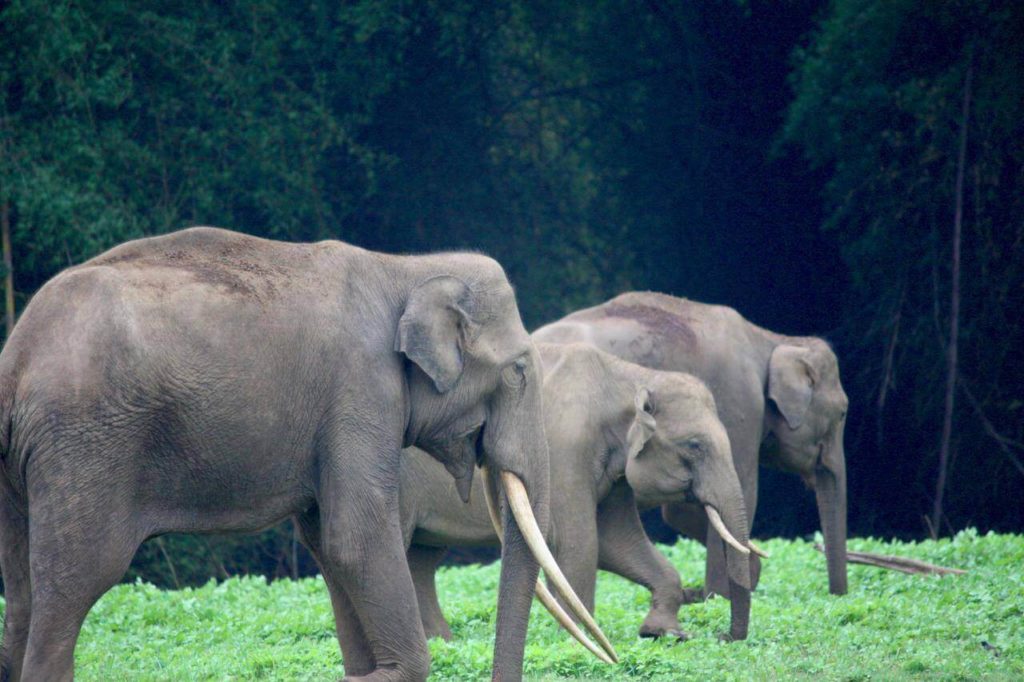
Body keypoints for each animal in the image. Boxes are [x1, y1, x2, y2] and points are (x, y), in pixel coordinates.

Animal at [0, 227, 606, 679]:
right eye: (519, 370)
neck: (403, 268)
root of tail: (17, 357)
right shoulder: (360, 389)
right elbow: (355, 536)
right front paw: (391, 670)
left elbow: (326, 542)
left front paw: (364, 671)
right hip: (85, 445)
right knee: (75, 579)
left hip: (23, 464)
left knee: (22, 590)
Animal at [397, 342, 753, 647]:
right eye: (695, 445)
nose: (723, 636)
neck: (629, 376)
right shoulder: (564, 452)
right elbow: (579, 541)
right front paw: (577, 643)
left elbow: (616, 542)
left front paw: (664, 633)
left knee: (422, 558)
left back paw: (442, 642)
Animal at [532, 288, 851, 598]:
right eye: (843, 413)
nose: (837, 595)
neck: (772, 340)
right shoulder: (742, 405)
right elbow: (744, 492)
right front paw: (720, 595)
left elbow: (681, 511)